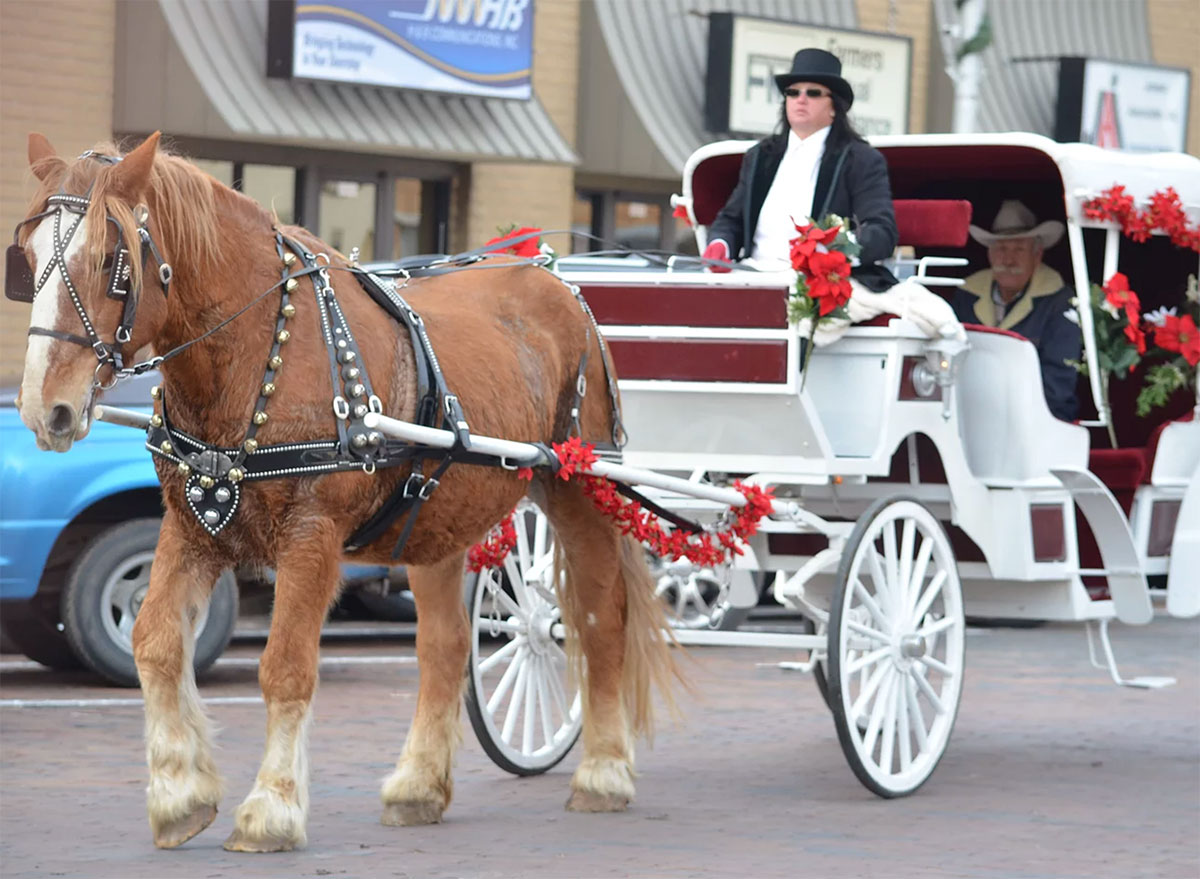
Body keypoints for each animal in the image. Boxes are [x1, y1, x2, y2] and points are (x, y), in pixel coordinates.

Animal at [14, 130, 681, 850]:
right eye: (26, 257)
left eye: (111, 261)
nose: (44, 409)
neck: (253, 350)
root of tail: (559, 282)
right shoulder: (193, 526)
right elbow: (155, 642)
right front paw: (178, 794)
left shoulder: (312, 536)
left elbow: (285, 665)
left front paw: (271, 808)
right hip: (436, 517)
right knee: (445, 647)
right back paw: (418, 785)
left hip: (582, 485)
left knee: (597, 619)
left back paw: (604, 773)